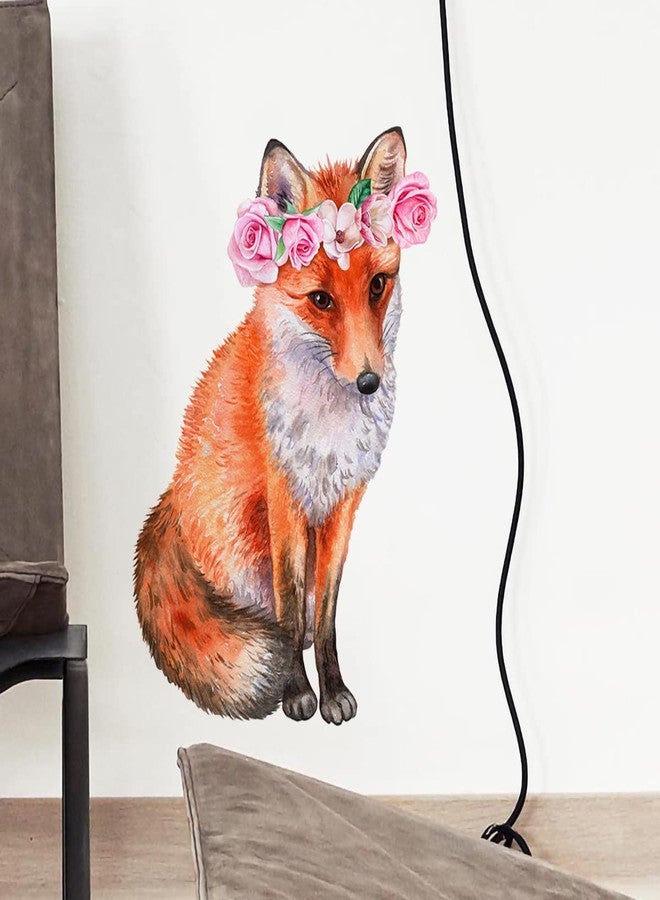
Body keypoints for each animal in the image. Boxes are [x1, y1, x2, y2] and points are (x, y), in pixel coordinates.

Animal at [134, 127, 410, 724]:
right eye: (320, 299)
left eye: (378, 286)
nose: (369, 382)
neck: (328, 430)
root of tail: (170, 503)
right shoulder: (284, 497)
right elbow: (287, 608)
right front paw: (296, 690)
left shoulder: (344, 501)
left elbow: (325, 613)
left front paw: (332, 687)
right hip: (241, 538)